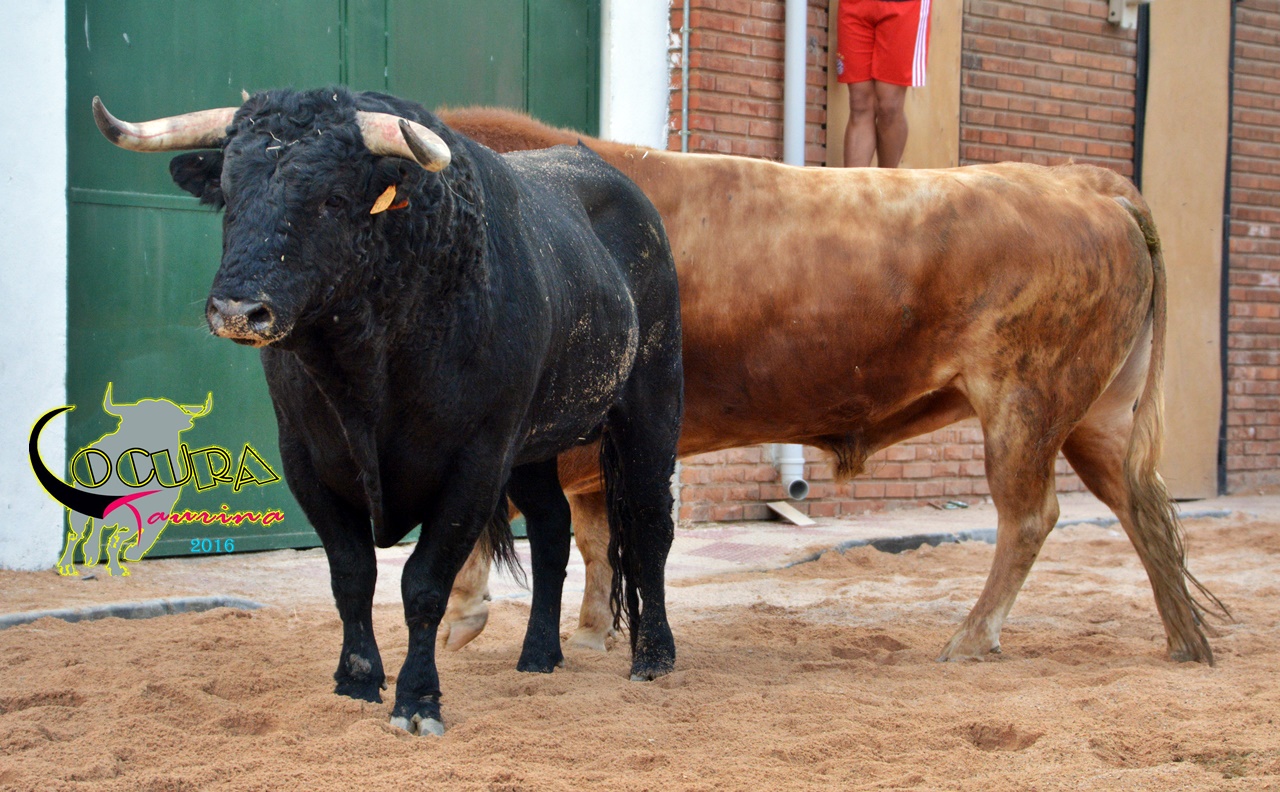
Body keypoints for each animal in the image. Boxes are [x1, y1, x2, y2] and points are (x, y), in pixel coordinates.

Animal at [92, 87, 684, 736]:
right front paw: (356, 683)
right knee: (552, 527)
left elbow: (423, 583)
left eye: (331, 198)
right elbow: (352, 576)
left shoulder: (476, 460)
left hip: (651, 403)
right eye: (228, 192)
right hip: (532, 442)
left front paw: (418, 700)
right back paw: (538, 656)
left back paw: (654, 658)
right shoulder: (306, 457)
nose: (236, 310)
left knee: (650, 524)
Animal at [437, 107, 1227, 666]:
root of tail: (1082, 180)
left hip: (1024, 404)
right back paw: (1185, 642)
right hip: (1098, 414)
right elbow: (598, 536)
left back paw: (971, 639)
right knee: (1143, 506)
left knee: (1031, 516)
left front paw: (466, 616)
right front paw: (591, 636)